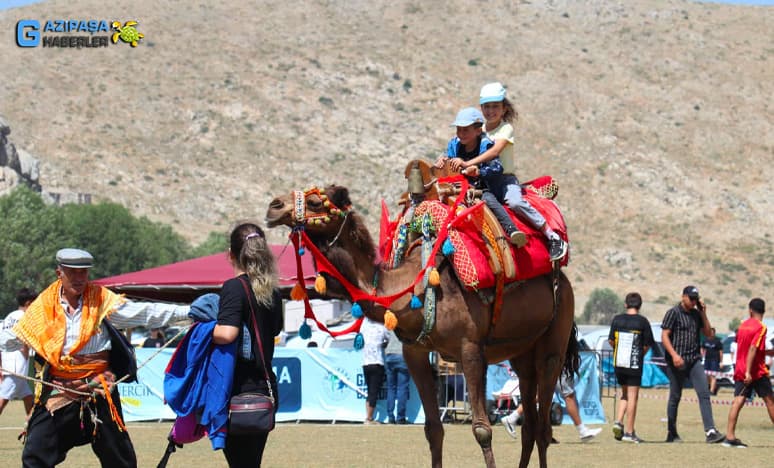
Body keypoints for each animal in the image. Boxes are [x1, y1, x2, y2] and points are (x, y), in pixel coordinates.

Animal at [266, 184, 576, 468]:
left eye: (315, 201)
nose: (274, 206)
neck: (414, 287)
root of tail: (563, 280)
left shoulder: (470, 349)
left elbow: (482, 429)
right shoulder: (414, 352)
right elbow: (433, 429)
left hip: (553, 344)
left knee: (543, 426)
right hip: (522, 353)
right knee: (530, 424)